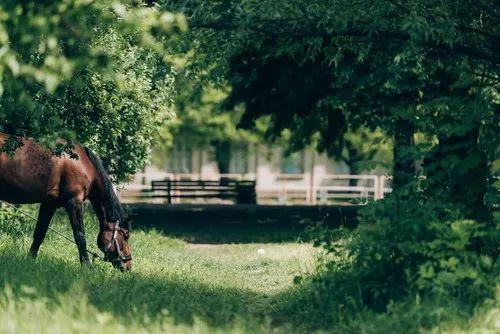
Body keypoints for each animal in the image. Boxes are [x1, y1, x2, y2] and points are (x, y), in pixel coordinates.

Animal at [0, 132, 133, 270]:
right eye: (126, 235)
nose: (128, 264)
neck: (82, 163)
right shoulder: (74, 202)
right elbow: (80, 236)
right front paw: (87, 267)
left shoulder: (49, 204)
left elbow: (39, 233)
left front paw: (30, 260)